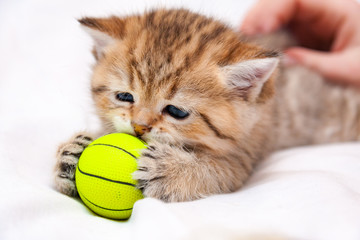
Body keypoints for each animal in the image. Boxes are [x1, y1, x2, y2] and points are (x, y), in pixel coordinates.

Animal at [54, 8, 360, 202]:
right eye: (125, 97)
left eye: (177, 111)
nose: (139, 126)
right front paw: (72, 153)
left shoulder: (247, 152)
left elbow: (220, 171)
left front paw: (173, 169)